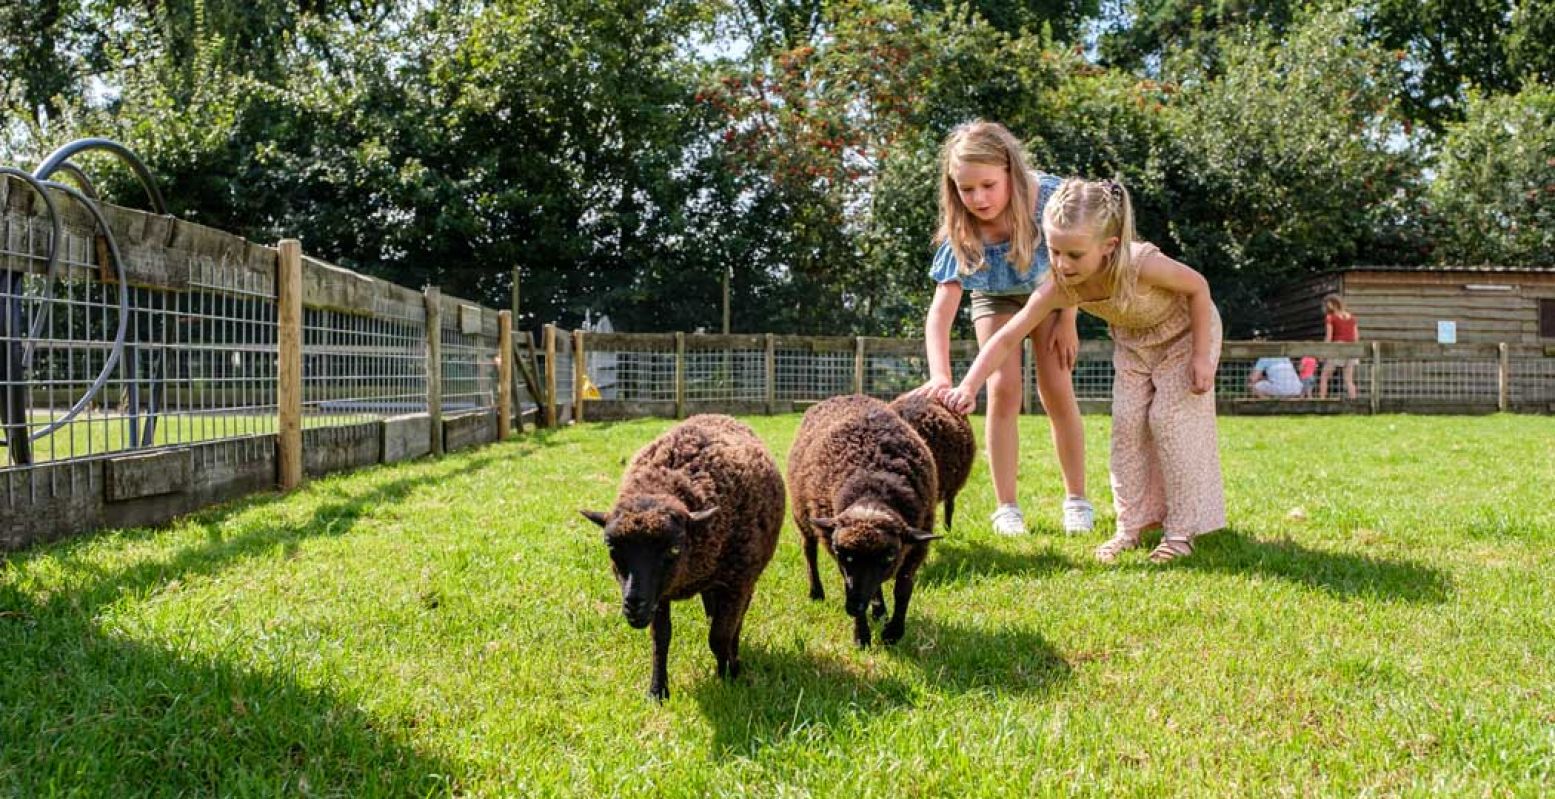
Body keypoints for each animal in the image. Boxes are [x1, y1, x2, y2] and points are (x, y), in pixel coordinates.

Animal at [578, 410, 783, 696]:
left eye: (674, 548)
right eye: (612, 547)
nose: (634, 605)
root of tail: (717, 413)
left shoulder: (736, 583)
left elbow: (719, 636)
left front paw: (730, 674)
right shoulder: (659, 594)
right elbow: (661, 637)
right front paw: (657, 691)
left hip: (744, 576)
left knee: (736, 620)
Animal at [783, 393, 939, 646]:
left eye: (889, 556)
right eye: (843, 553)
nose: (852, 608)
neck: (873, 488)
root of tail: (842, 395)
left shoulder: (917, 547)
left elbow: (903, 588)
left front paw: (893, 632)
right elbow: (849, 584)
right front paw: (861, 636)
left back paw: (878, 610)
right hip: (802, 515)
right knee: (809, 551)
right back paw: (816, 592)